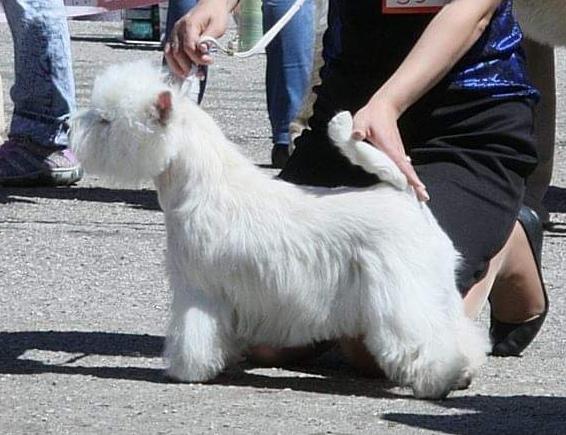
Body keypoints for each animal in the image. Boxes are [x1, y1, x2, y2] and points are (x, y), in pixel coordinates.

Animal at [71, 62, 490, 402]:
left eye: (106, 120)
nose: (70, 126)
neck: (201, 183)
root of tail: (403, 193)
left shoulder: (198, 286)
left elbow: (194, 331)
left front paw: (185, 370)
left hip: (400, 292)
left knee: (426, 339)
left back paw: (440, 381)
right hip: (434, 286)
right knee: (459, 331)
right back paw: (466, 370)